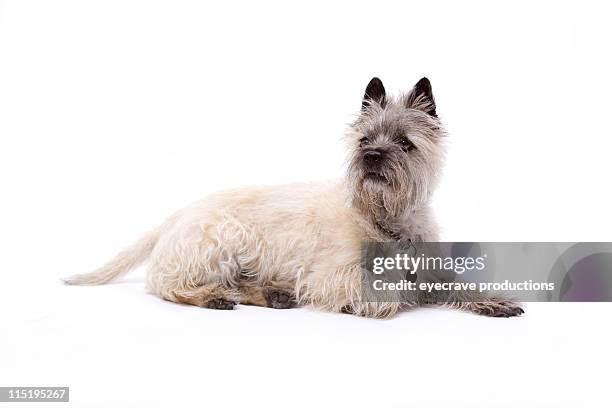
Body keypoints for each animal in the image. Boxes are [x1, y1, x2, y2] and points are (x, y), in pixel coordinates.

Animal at [65, 76, 524, 318]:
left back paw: (270, 294)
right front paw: (373, 301)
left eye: (405, 143)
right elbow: (383, 291)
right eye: (364, 140)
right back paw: (217, 297)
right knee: (168, 285)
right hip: (224, 238)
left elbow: (458, 285)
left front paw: (494, 300)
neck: (386, 220)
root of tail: (175, 215)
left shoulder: (433, 268)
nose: (372, 156)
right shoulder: (333, 274)